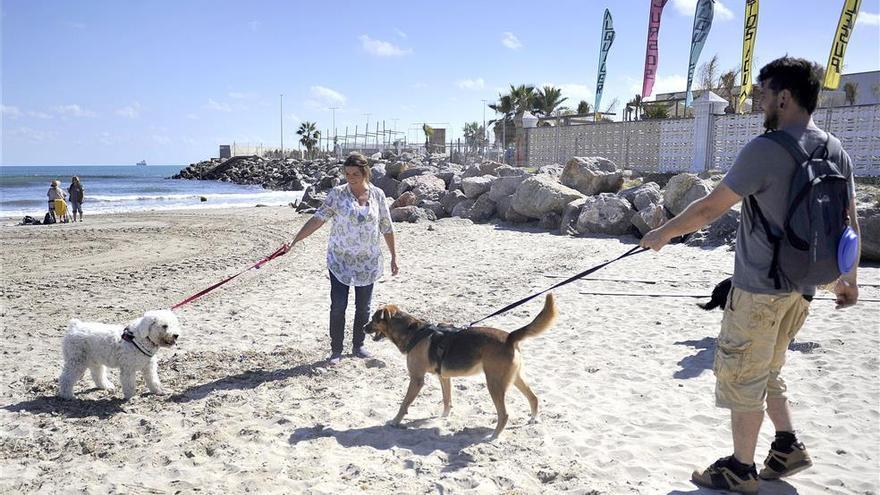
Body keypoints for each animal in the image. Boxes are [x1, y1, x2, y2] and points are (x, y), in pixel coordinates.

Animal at [364, 292, 556, 440]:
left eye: (373, 319)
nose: (364, 327)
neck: (413, 332)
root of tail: (510, 337)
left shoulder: (417, 379)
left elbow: (404, 404)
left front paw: (395, 421)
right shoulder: (444, 377)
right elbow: (447, 399)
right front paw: (443, 416)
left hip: (495, 384)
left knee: (504, 414)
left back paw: (493, 436)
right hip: (514, 378)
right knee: (533, 397)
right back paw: (533, 419)